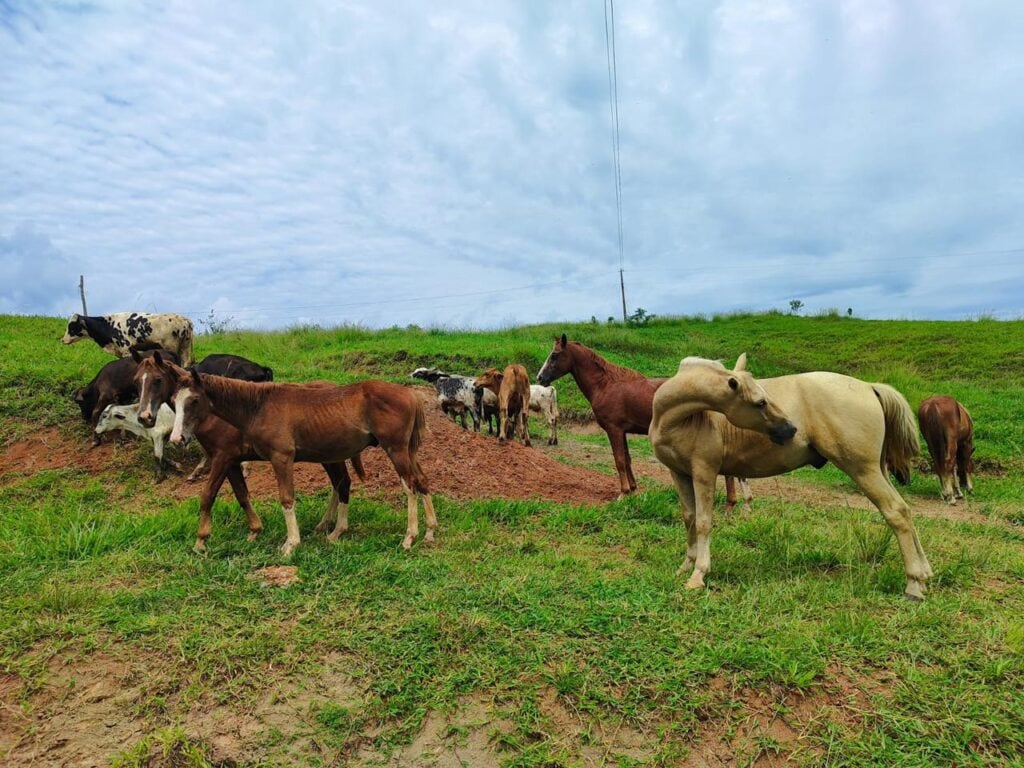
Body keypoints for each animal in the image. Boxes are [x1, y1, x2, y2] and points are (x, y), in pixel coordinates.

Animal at [61, 315, 193, 370]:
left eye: (72, 326)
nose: (62, 340)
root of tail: (184, 319)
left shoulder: (126, 350)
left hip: (171, 346)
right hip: (185, 347)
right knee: (187, 362)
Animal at [137, 352, 436, 557]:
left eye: (195, 400)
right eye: (175, 401)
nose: (177, 438)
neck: (259, 406)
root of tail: (411, 395)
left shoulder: (275, 458)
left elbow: (284, 499)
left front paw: (290, 544)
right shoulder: (235, 460)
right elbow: (243, 495)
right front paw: (254, 533)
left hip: (394, 449)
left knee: (409, 485)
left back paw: (409, 536)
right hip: (399, 451)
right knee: (417, 481)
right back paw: (427, 532)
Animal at [651, 354, 933, 602]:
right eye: (760, 402)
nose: (790, 429)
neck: (680, 419)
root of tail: (869, 387)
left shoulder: (704, 472)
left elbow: (703, 522)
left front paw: (698, 575)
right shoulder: (680, 474)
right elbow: (689, 518)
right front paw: (685, 567)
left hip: (864, 470)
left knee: (895, 512)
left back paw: (913, 585)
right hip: (877, 470)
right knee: (905, 510)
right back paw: (924, 575)